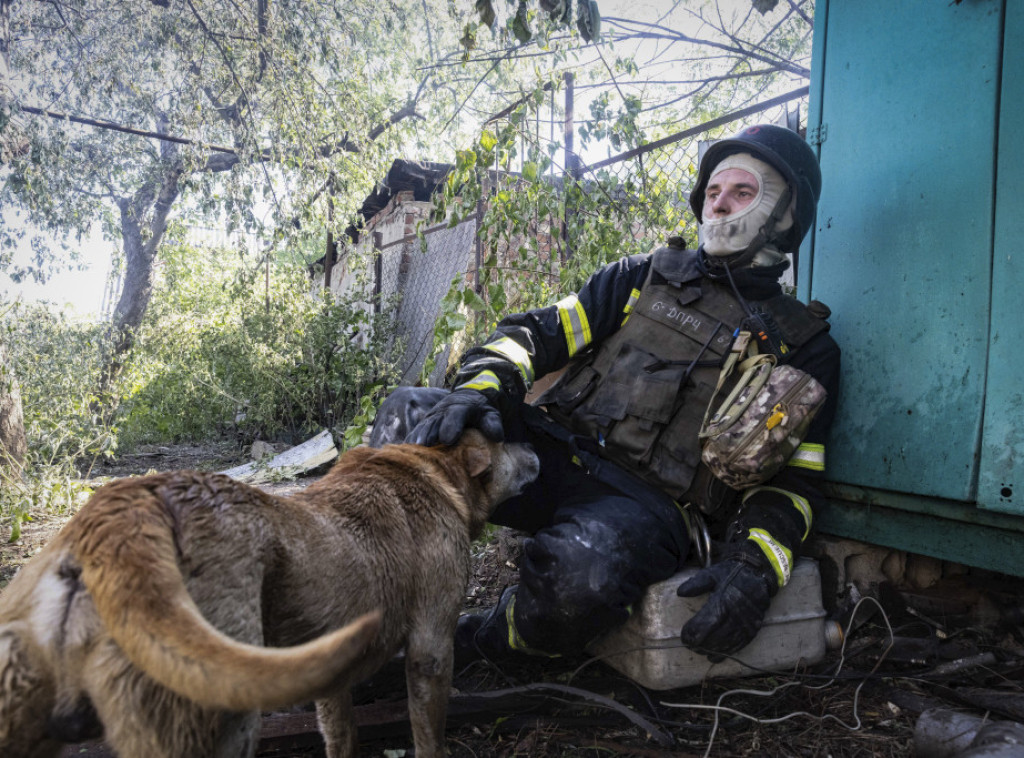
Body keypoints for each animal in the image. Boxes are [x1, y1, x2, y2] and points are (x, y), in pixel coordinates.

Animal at [0, 432, 540, 758]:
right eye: (503, 436)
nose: (538, 442)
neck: (435, 471)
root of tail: (123, 512)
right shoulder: (431, 647)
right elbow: (428, 732)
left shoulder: (330, 671)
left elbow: (341, 733)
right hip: (222, 715)